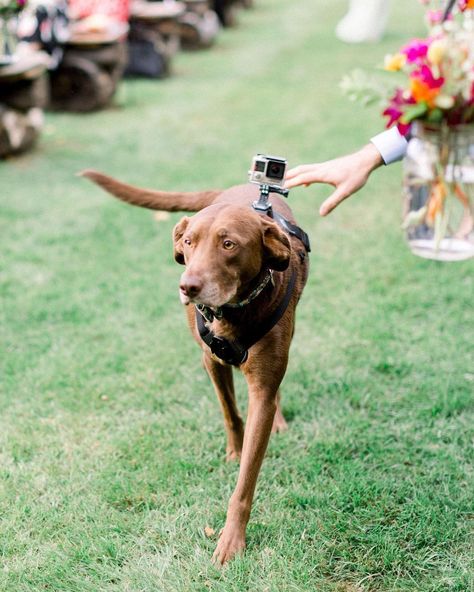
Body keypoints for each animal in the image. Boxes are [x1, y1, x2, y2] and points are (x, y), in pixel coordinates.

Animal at [81, 170, 312, 564]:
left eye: (229, 244)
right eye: (189, 242)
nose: (187, 286)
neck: (233, 312)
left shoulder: (262, 387)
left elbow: (245, 481)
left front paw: (232, 539)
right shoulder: (211, 361)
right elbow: (230, 412)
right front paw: (235, 451)